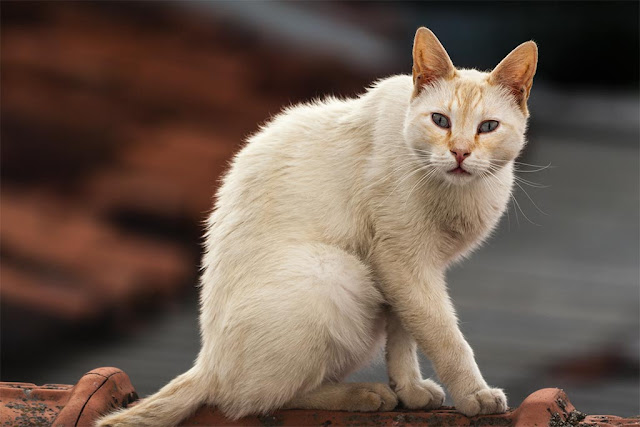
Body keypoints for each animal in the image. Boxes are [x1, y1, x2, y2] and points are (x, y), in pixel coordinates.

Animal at [97, 27, 536, 427]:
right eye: (440, 120)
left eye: (487, 127)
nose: (459, 153)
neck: (461, 194)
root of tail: (207, 361)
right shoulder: (403, 261)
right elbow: (444, 337)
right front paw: (475, 397)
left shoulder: (412, 272)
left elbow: (404, 337)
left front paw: (411, 392)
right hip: (336, 272)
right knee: (252, 400)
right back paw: (366, 394)